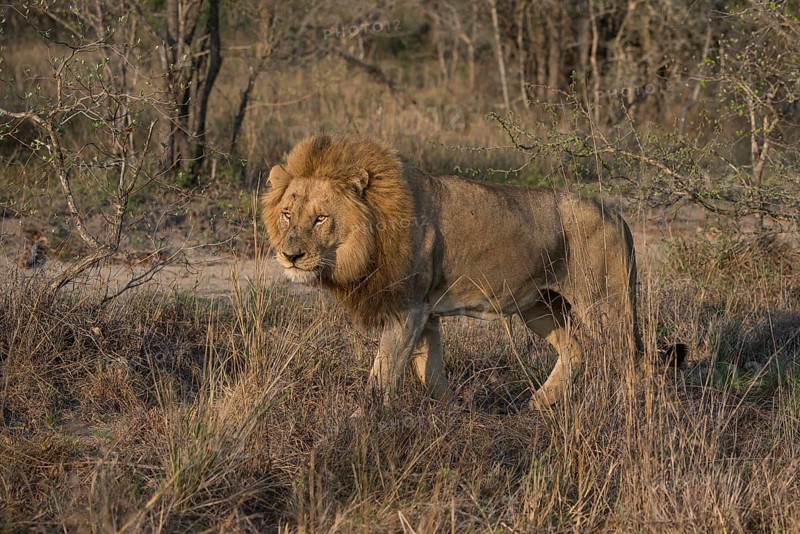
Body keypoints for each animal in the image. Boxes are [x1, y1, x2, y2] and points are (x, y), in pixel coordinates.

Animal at [262, 133, 661, 410]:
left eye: (320, 219)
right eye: (287, 215)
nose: (291, 256)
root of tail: (615, 214)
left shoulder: (407, 308)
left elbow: (384, 373)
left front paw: (363, 421)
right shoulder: (425, 312)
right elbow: (429, 371)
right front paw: (454, 410)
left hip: (606, 302)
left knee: (635, 360)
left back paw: (628, 412)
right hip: (539, 304)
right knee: (576, 349)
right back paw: (537, 405)